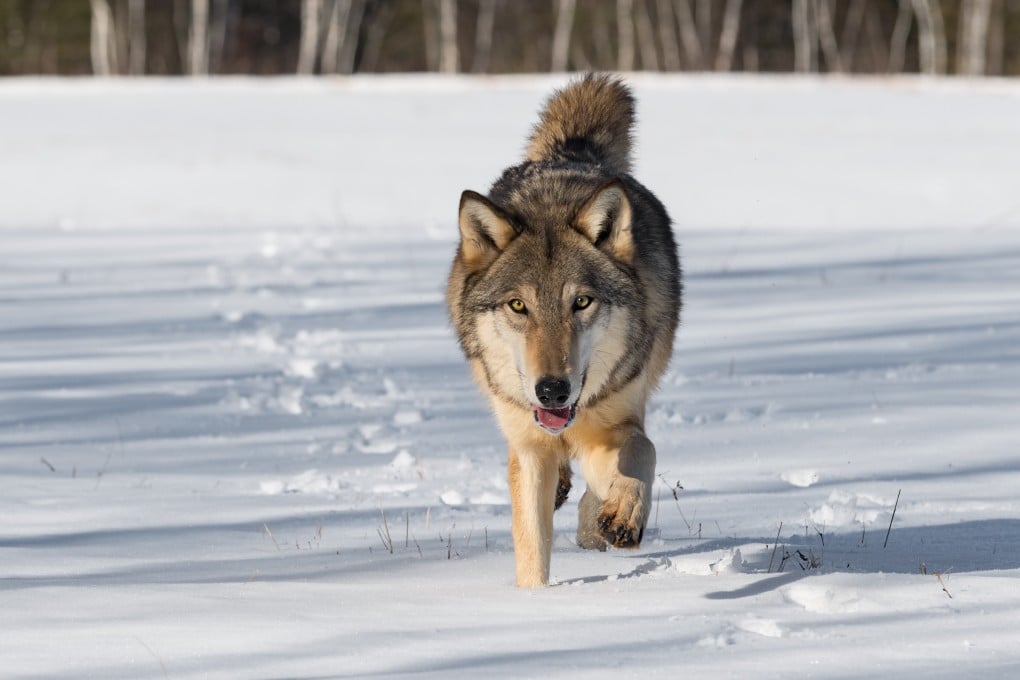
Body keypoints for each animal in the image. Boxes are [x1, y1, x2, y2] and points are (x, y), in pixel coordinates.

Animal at [446, 74, 681, 587]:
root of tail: (571, 155)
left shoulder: (616, 417)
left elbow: (643, 450)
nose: (552, 390)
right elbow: (532, 546)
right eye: (518, 306)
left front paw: (621, 511)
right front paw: (536, 599)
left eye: (582, 302)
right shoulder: (528, 446)